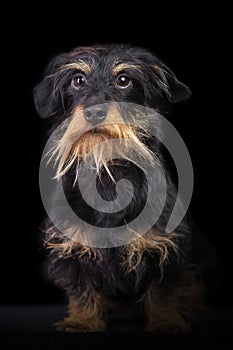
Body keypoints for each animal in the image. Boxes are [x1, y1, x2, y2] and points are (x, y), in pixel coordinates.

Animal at [33, 42, 220, 332]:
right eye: (78, 80)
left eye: (124, 80)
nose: (94, 112)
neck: (107, 175)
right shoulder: (70, 250)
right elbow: (81, 290)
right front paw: (82, 320)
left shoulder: (168, 249)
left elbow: (164, 291)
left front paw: (166, 321)